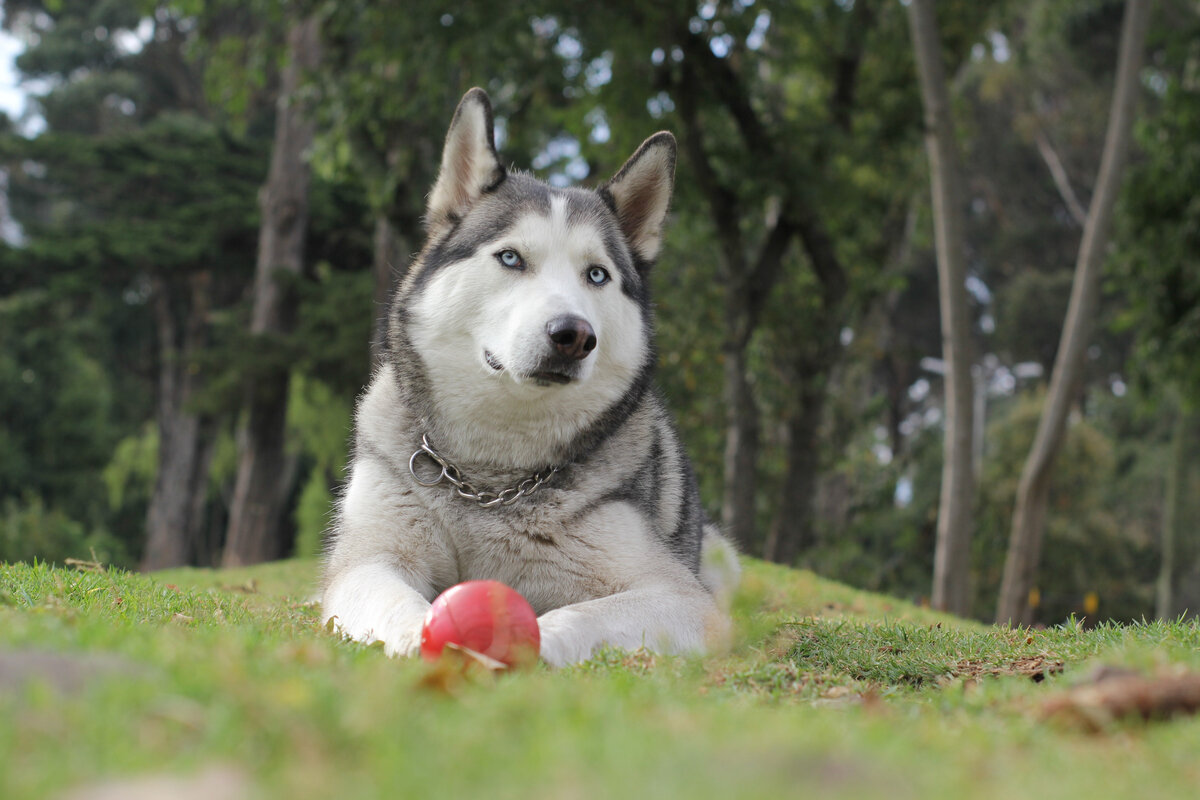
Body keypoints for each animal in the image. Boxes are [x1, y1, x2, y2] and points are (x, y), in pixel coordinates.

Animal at [326, 87, 739, 666]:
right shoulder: (367, 560)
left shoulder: (685, 599)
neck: (489, 482)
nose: (574, 335)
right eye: (511, 258)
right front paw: (428, 641)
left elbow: (582, 616)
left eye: (597, 274)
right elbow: (396, 601)